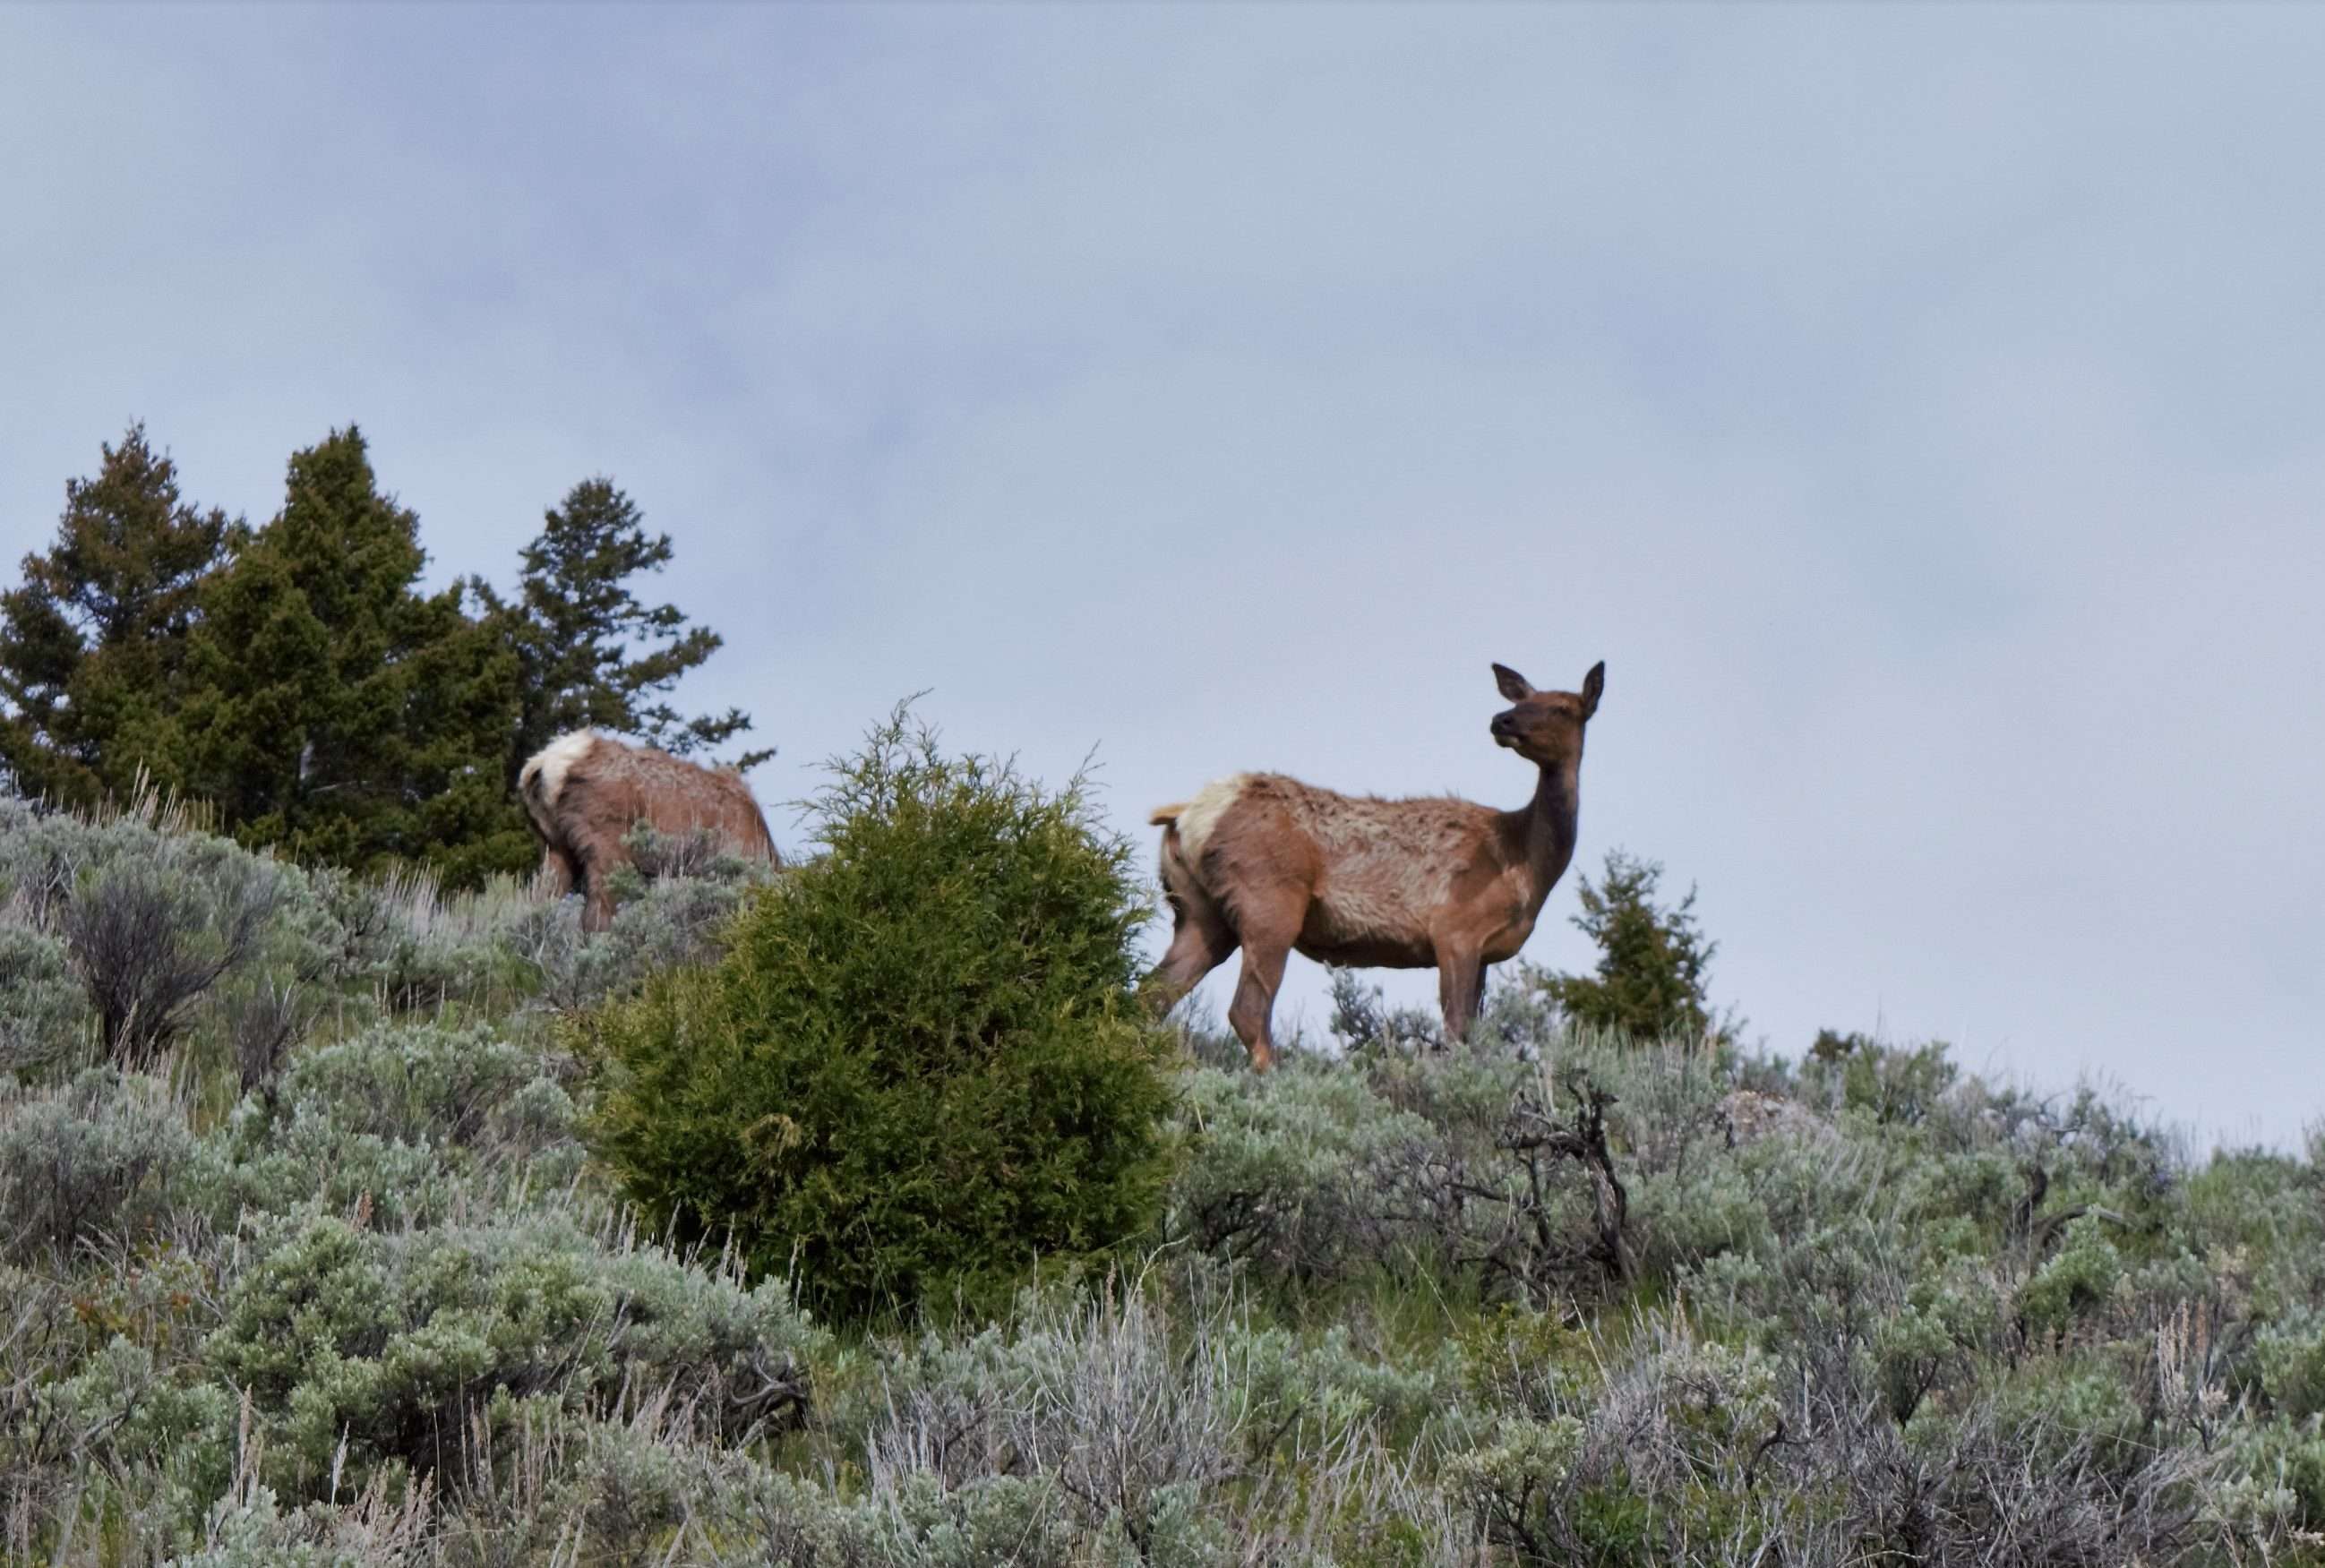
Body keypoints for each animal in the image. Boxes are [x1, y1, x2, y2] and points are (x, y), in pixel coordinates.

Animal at [1140, 660, 1603, 1071]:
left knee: (1152, 993)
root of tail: (1188, 813)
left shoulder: (1486, 952)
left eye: (1563, 707)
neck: (1524, 863)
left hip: (1200, 913)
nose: (1502, 720)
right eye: (1523, 699)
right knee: (1248, 1010)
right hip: (1269, 900)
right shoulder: (1455, 930)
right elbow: (1455, 1032)